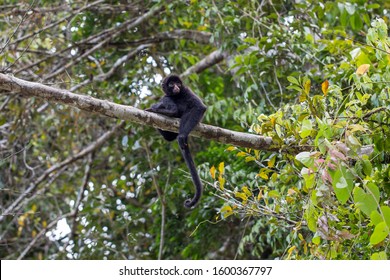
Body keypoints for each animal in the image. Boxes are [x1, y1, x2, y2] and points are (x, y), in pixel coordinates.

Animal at [145, 74, 207, 208]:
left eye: (178, 83)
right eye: (171, 84)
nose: (176, 87)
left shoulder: (186, 90)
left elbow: (200, 107)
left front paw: (182, 136)